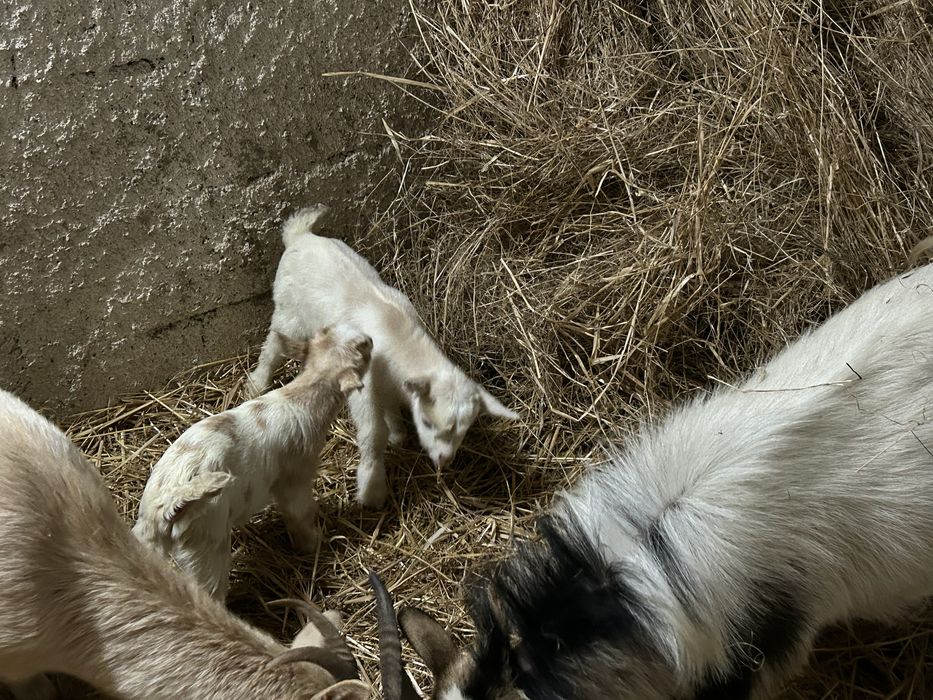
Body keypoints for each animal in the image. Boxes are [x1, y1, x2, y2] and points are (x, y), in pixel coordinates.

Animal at [133, 327, 372, 601]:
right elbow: (300, 513)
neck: (298, 398)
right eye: (362, 349)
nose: (371, 339)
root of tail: (168, 503)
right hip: (207, 550)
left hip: (148, 542)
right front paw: (313, 543)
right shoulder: (295, 478)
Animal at [245, 204, 518, 508]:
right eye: (427, 422)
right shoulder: (363, 385)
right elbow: (373, 433)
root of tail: (300, 235)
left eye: (464, 430)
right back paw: (257, 382)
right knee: (273, 346)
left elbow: (391, 410)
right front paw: (372, 488)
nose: (443, 461)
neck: (400, 337)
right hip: (288, 312)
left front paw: (398, 432)